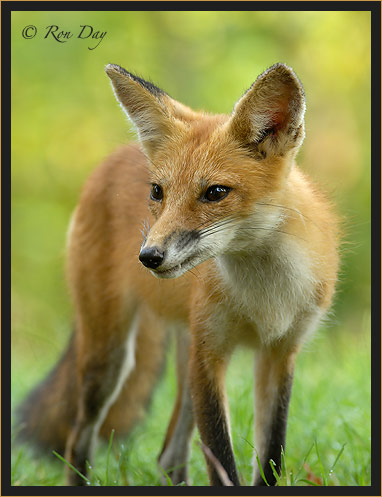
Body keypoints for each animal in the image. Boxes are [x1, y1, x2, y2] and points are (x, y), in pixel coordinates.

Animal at [18, 62, 340, 484]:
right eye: (157, 192)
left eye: (216, 192)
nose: (148, 257)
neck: (264, 297)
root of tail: (115, 156)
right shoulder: (209, 355)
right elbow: (222, 463)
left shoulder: (281, 352)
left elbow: (271, 458)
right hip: (110, 358)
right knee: (78, 440)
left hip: (182, 356)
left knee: (168, 455)